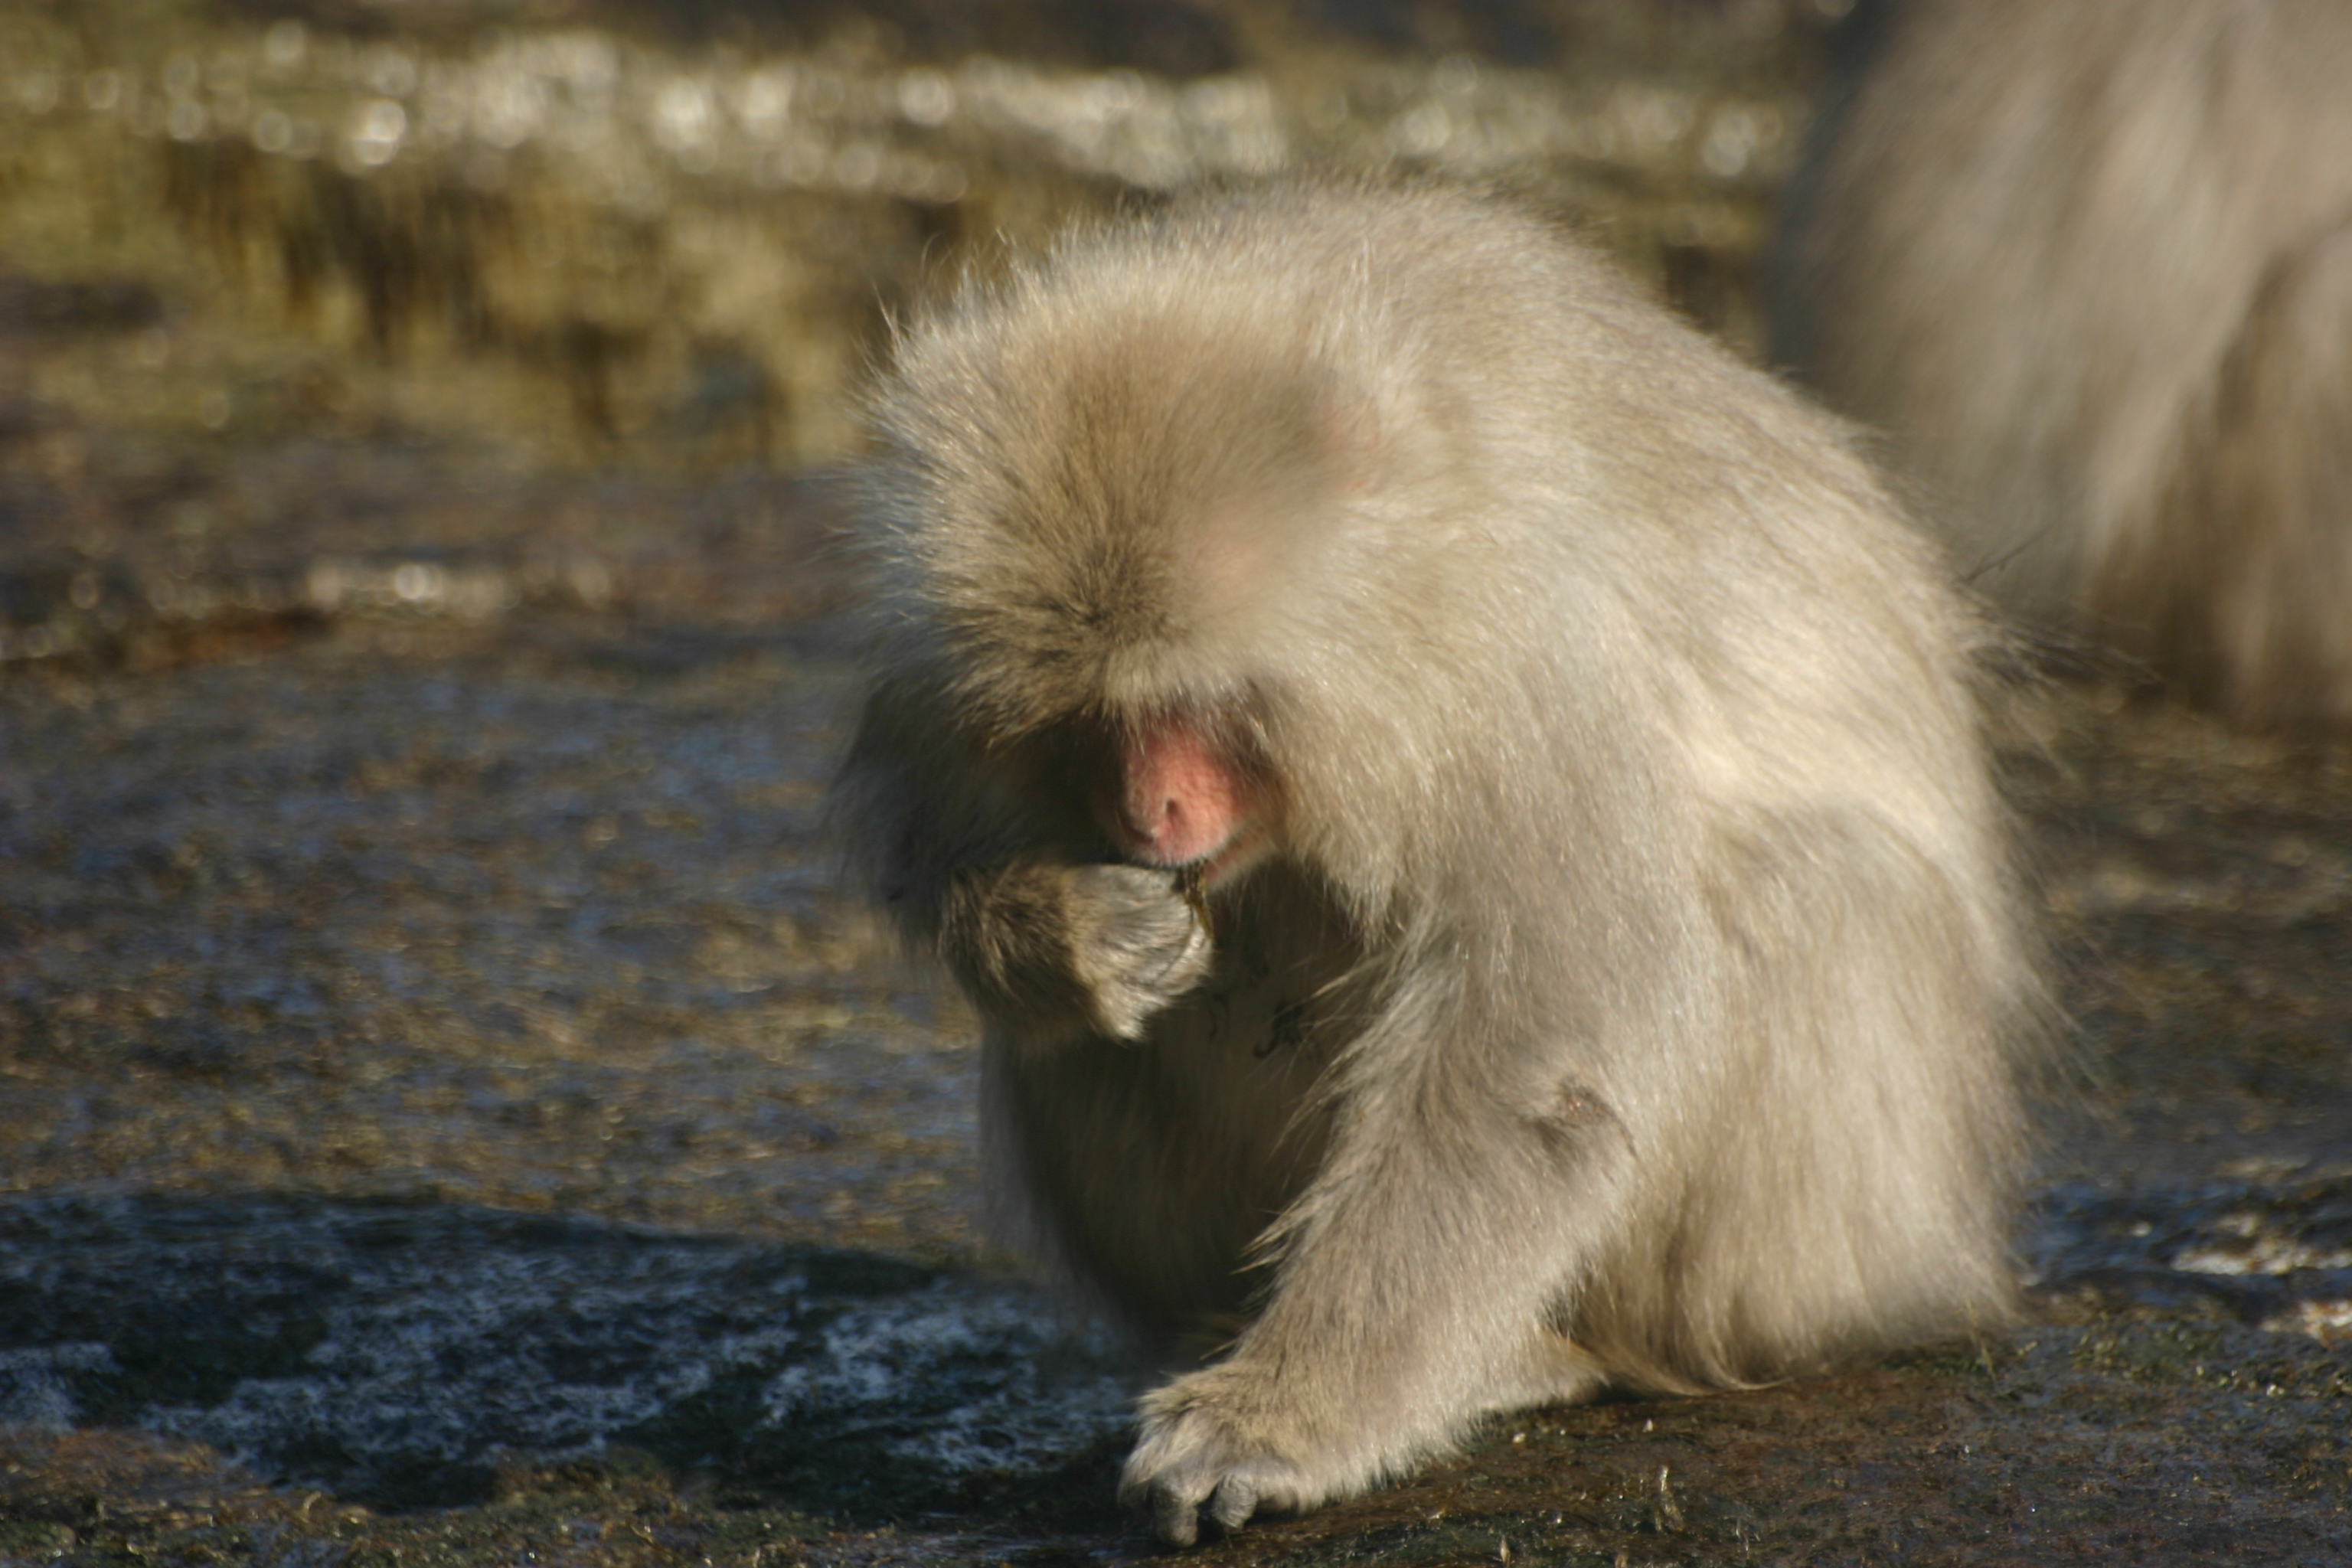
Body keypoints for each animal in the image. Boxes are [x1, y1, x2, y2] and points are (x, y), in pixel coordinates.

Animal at [832, 177, 2041, 1542]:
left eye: (1200, 704)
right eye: (1091, 720)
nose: (1152, 815)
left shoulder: (1516, 654)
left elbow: (1540, 1049)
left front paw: (1288, 1415)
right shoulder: (941, 663)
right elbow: (926, 847)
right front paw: (1075, 937)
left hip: (1844, 1241)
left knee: (1811, 901)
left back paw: (1539, 1355)